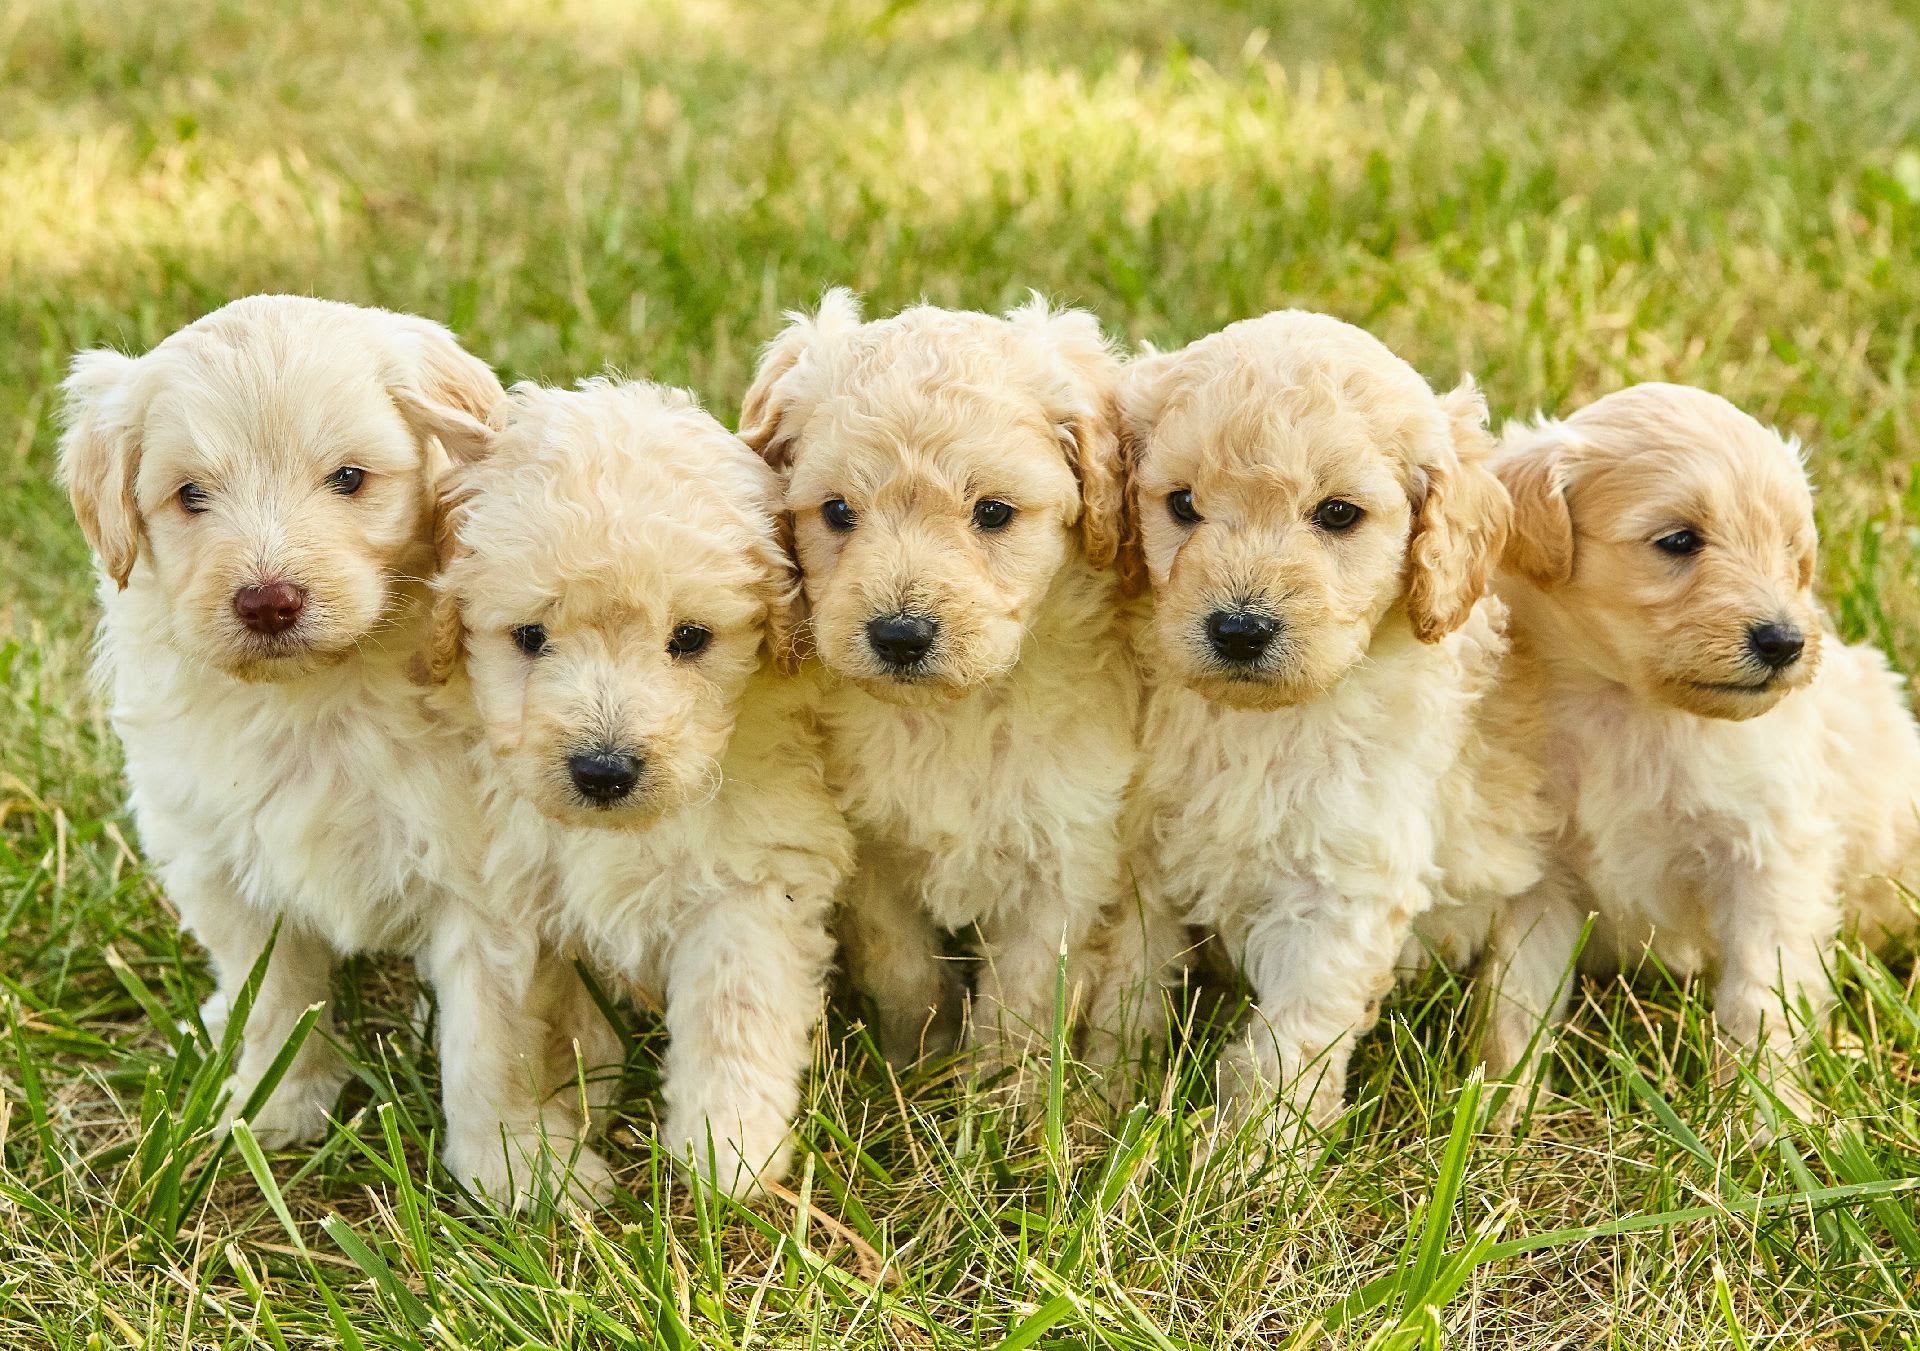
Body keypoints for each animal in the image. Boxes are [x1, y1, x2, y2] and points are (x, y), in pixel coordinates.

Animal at [60, 293, 599, 1205]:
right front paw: (270, 1105)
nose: (267, 601)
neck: (317, 696)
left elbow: (493, 1037)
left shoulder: (487, 877)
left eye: (348, 478)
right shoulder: (222, 865)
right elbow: (273, 995)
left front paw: (519, 1165)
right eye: (191, 494)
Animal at [424, 378, 852, 1189]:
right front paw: (518, 1164)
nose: (604, 770)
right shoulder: (492, 882)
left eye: (689, 638)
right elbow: (490, 1034)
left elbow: (734, 1013)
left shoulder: (750, 879)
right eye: (530, 636)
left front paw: (727, 1152)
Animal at [741, 289, 1144, 1082]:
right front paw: (914, 1067)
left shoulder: (1065, 861)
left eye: (992, 512)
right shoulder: (873, 857)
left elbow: (1022, 1002)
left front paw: (1004, 1098)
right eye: (838, 511)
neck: (953, 714)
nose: (899, 635)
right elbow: (903, 973)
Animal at [1121, 310, 1543, 1159]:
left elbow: (1292, 1040)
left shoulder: (1342, 887)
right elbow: (1122, 983)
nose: (1239, 629)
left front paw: (1253, 1159)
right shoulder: (1144, 853)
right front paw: (1097, 1098)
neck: (1261, 722)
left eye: (1338, 514)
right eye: (1182, 503)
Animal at [1474, 381, 1912, 1120]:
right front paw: (1503, 1116)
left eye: (1789, 549)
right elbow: (1518, 1001)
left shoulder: (1770, 859)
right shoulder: (1540, 875)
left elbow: (1759, 997)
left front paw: (1766, 1122)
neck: (1633, 710)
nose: (1786, 641)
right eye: (1679, 541)